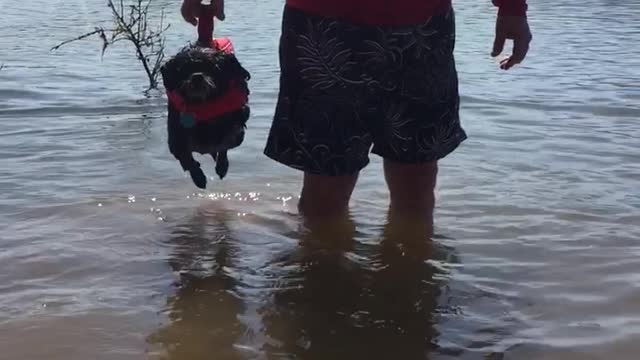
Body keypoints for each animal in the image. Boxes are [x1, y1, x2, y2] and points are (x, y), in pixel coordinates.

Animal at [160, 10, 250, 190]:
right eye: (184, 69)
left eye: (211, 67)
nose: (197, 76)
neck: (203, 104)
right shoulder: (175, 140)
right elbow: (186, 158)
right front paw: (198, 177)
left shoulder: (236, 133)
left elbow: (224, 144)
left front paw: (221, 166)